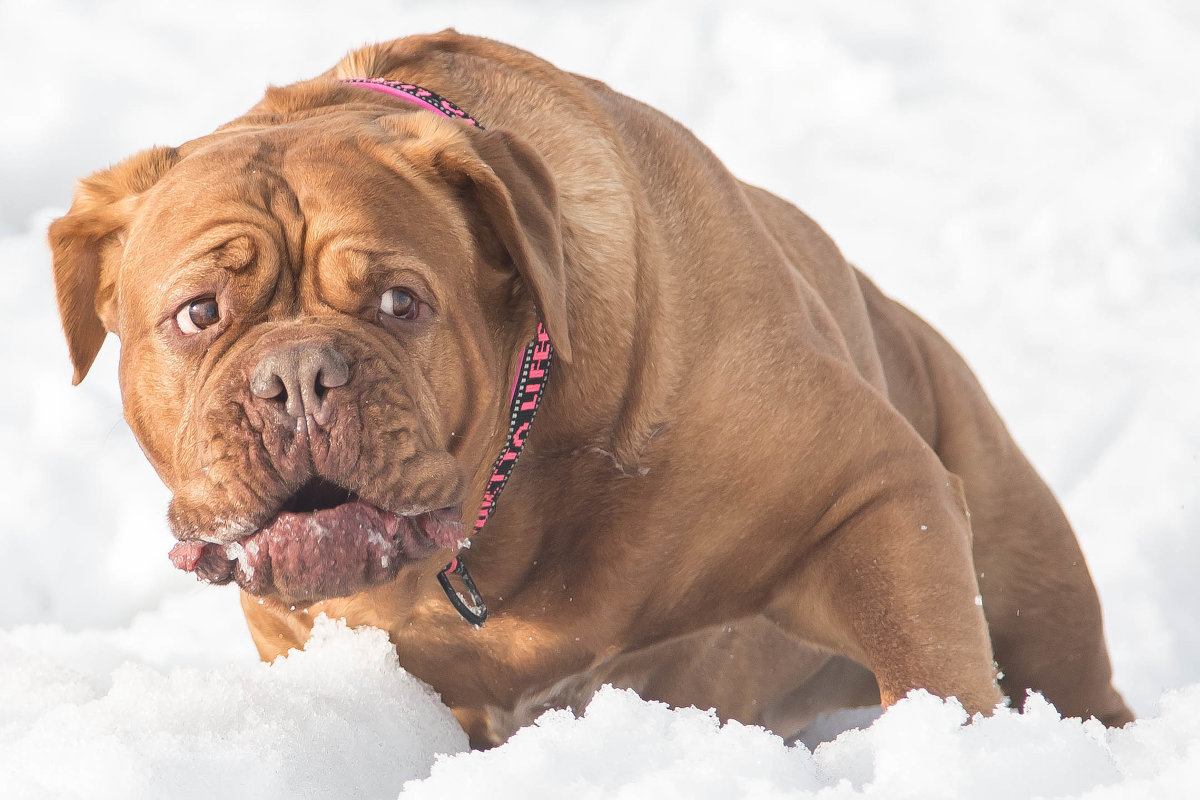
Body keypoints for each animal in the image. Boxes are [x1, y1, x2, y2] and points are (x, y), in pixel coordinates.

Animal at [49, 29, 1132, 743]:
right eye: (199, 314)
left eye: (402, 301)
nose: (298, 373)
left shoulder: (876, 490)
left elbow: (929, 664)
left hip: (1014, 544)